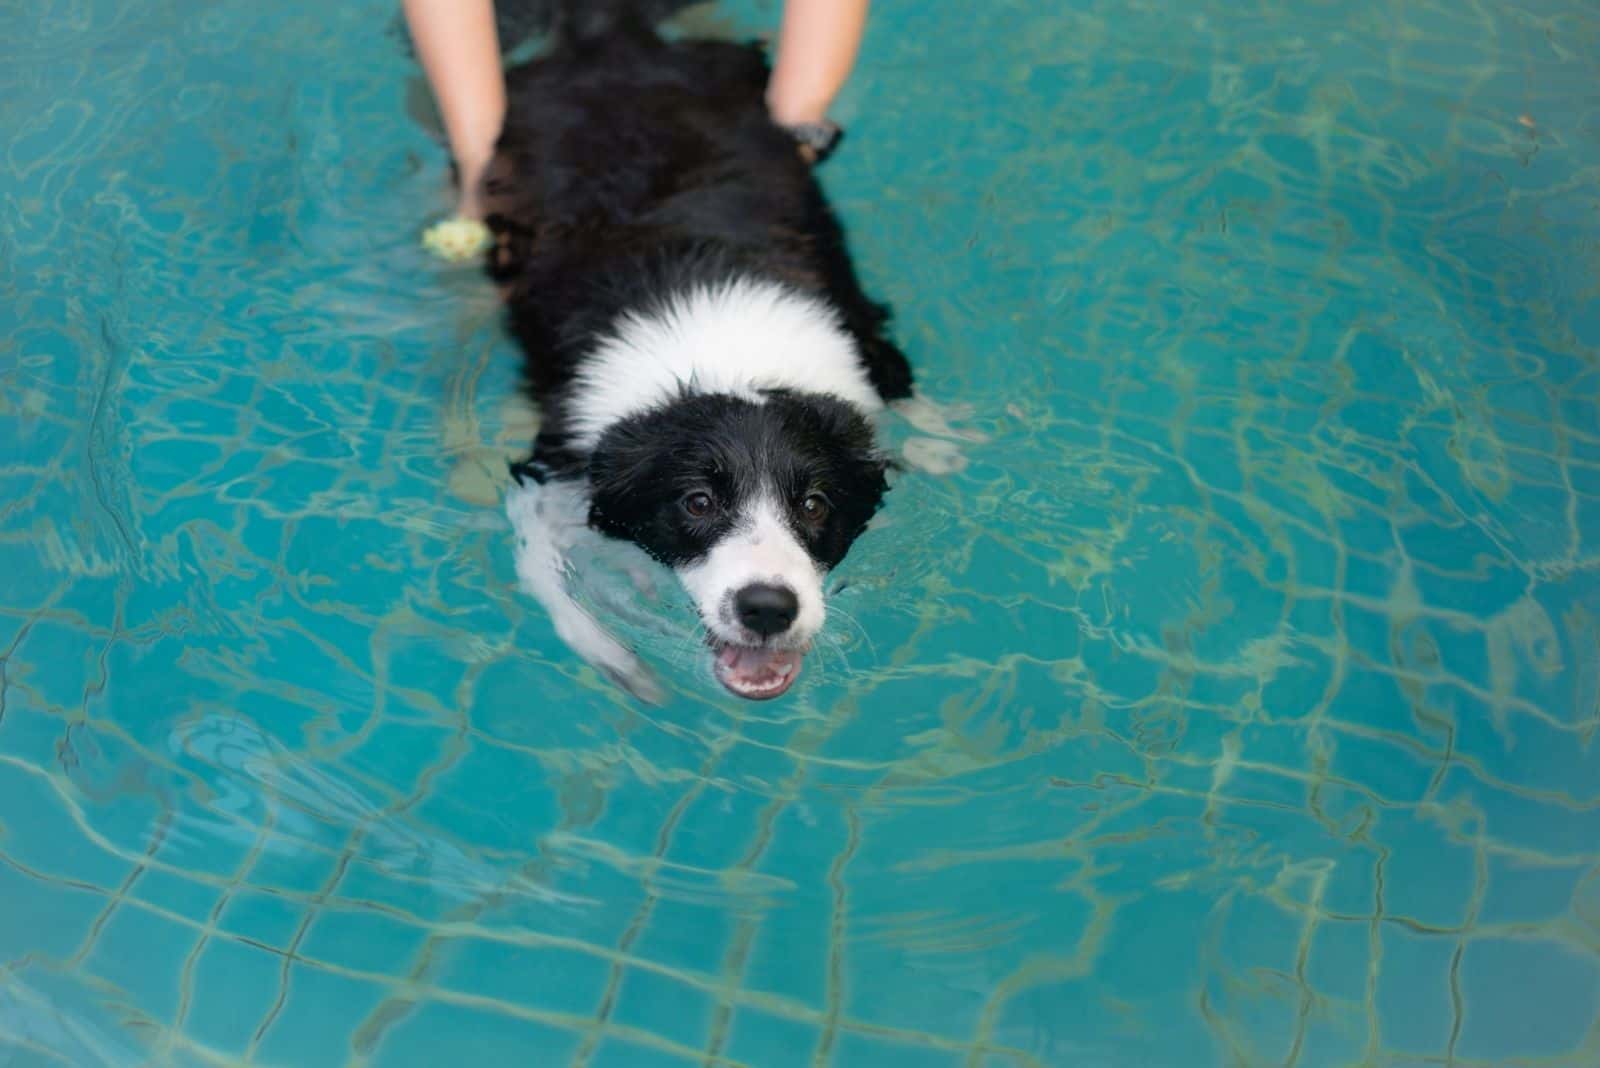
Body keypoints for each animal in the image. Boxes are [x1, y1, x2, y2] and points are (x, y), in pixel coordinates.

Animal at [483, 0, 915, 700]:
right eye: (698, 503)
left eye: (815, 504)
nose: (767, 608)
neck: (727, 352)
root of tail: (614, 36)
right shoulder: (552, 466)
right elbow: (552, 579)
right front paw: (625, 664)